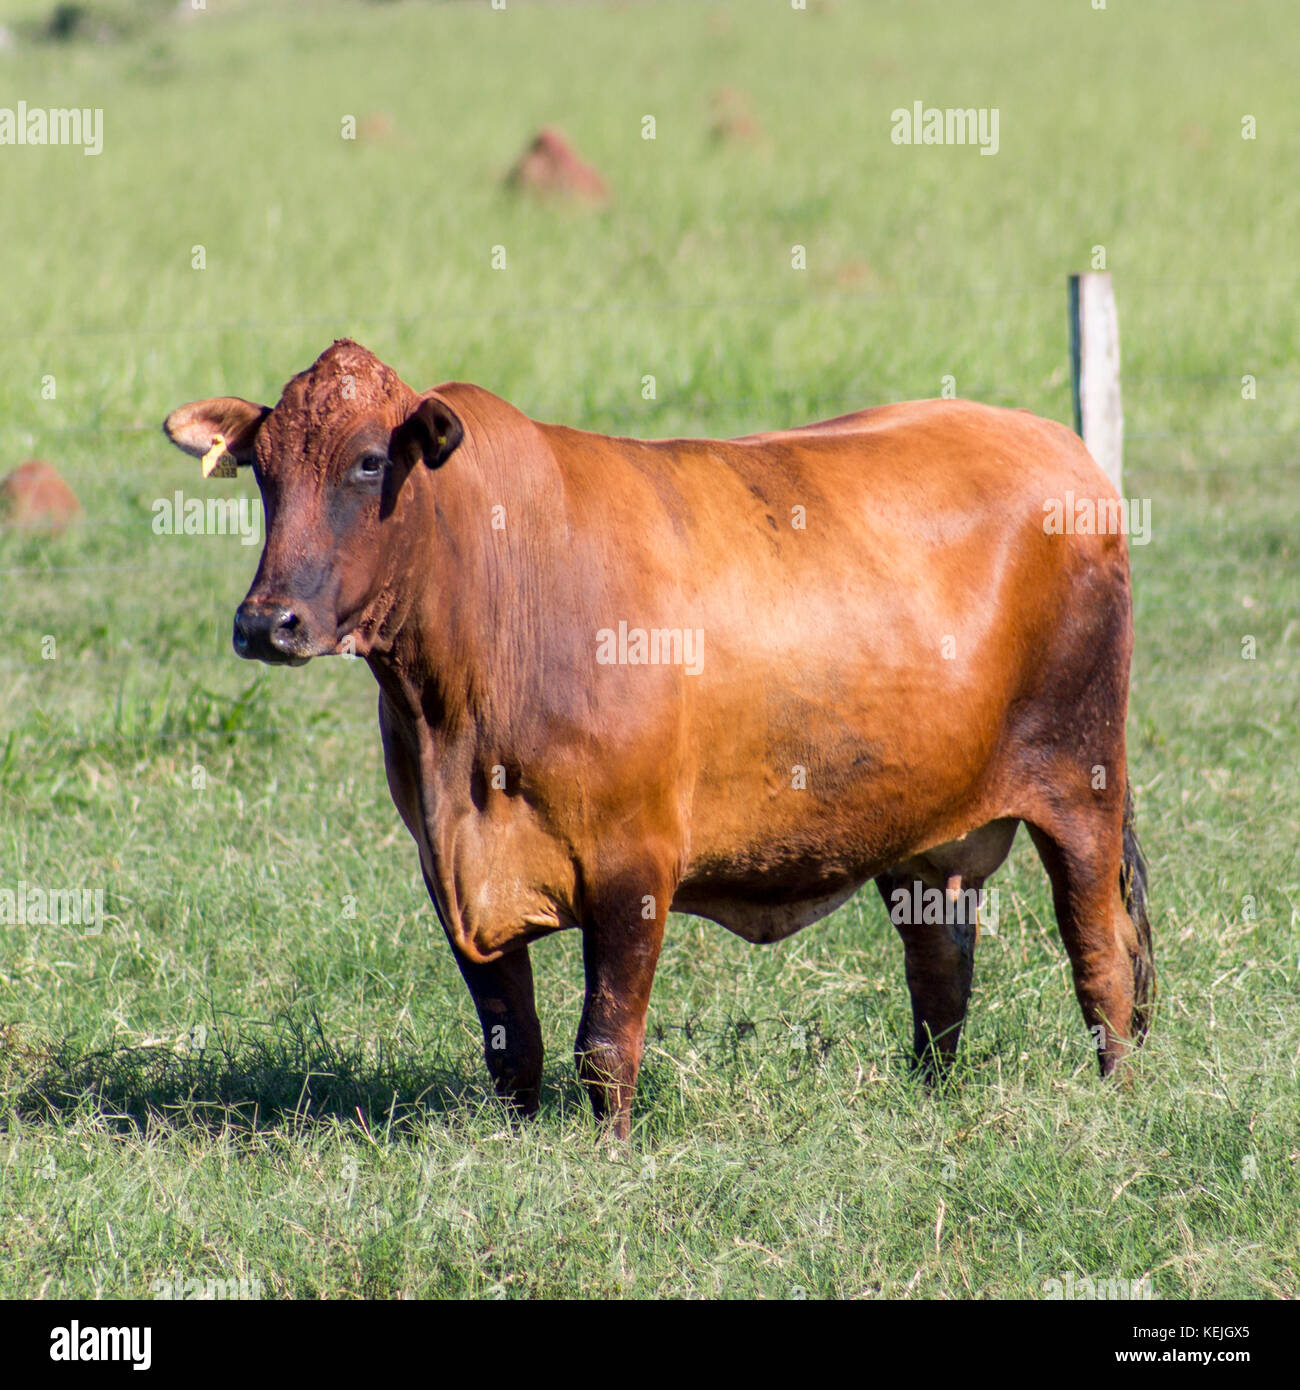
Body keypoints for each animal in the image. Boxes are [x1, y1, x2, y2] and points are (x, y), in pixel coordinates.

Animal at [165, 339, 1156, 1139]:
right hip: (928, 831)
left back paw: (1116, 1100)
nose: (266, 623)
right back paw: (929, 1096)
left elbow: (605, 1040)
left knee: (1100, 956)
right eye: (263, 469)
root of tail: (1058, 446)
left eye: (371, 461)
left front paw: (608, 1154)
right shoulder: (446, 867)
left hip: (1082, 789)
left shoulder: (634, 861)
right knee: (941, 968)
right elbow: (511, 1041)